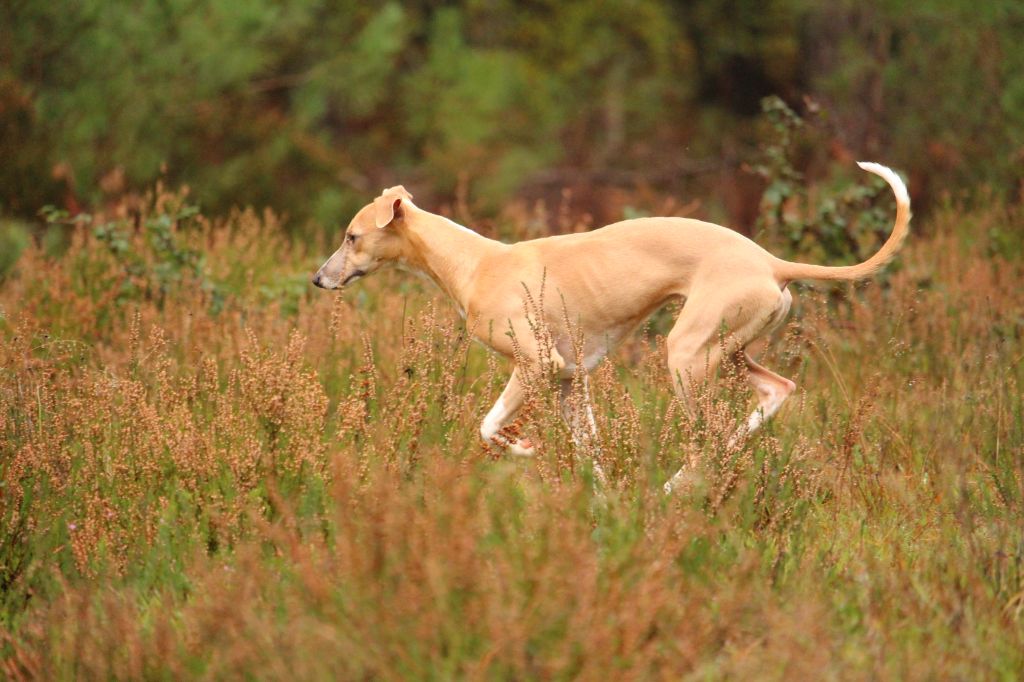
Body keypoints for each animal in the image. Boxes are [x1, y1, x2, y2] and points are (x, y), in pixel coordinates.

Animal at [313, 163, 913, 493]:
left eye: (350, 236)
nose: (318, 279)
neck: (475, 262)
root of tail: (771, 262)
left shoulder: (539, 365)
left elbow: (487, 426)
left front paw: (520, 448)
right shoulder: (568, 382)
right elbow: (592, 454)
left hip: (686, 357)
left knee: (708, 439)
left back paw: (678, 488)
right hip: (729, 350)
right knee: (776, 391)